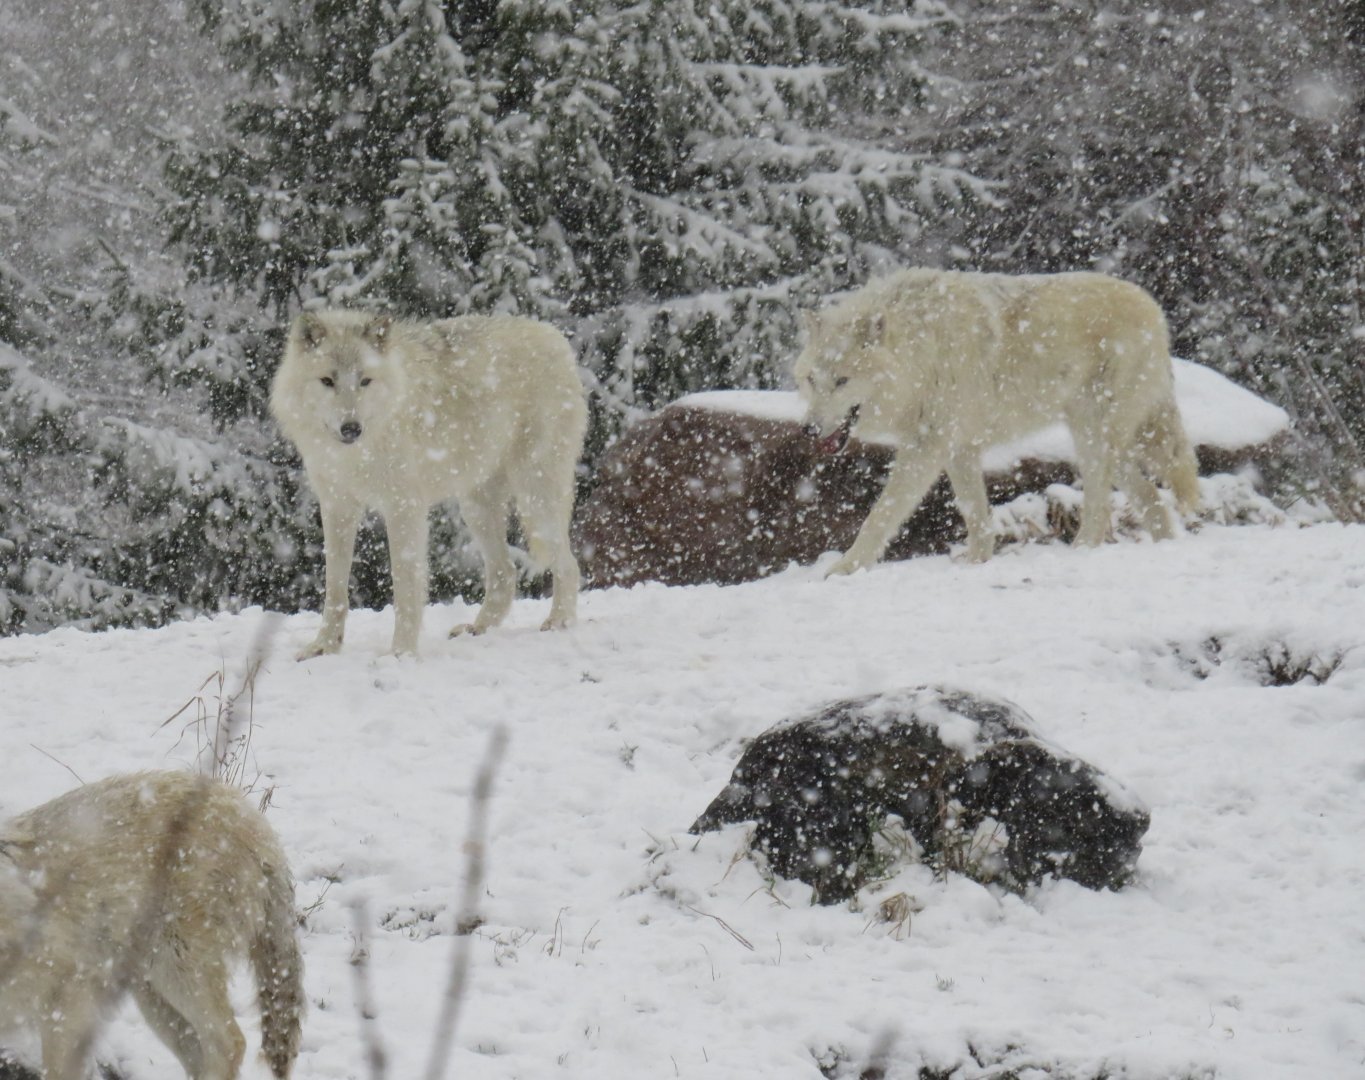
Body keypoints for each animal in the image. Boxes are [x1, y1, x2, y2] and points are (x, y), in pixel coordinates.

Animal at [0, 770, 303, 1080]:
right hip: (155, 1000)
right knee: (201, 1051)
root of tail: (254, 818)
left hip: (177, 969)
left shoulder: (70, 988)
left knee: (230, 1042)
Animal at [271, 309, 588, 658]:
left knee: (569, 564)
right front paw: (324, 647)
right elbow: (335, 586)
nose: (351, 428)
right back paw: (477, 628)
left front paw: (401, 653)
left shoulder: (403, 507)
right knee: (506, 571)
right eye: (327, 381)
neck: (356, 452)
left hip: (534, 497)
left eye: (365, 380)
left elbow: (405, 584)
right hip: (476, 509)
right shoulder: (336, 507)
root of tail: (553, 335)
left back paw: (558, 621)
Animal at [795, 268, 1200, 573]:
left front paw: (845, 568)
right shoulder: (959, 449)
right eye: (813, 379)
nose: (809, 428)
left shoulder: (926, 446)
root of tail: (1153, 308)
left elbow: (881, 514)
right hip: (1103, 443)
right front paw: (977, 562)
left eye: (842, 381)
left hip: (1095, 437)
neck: (920, 349)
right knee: (1151, 497)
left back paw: (1082, 549)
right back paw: (1164, 548)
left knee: (1101, 506)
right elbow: (976, 515)